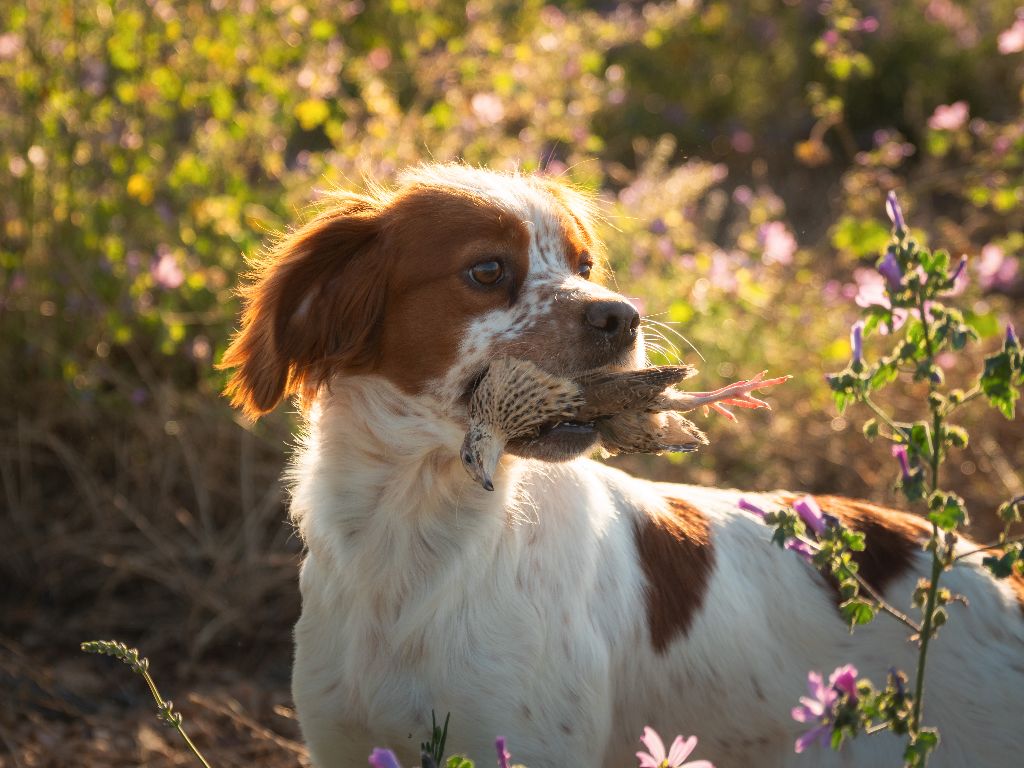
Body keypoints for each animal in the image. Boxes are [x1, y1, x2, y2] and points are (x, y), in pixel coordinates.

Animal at [218, 165, 1024, 765]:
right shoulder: (346, 740)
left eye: (583, 264)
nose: (622, 316)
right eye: (487, 270)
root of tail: (985, 578)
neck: (415, 532)